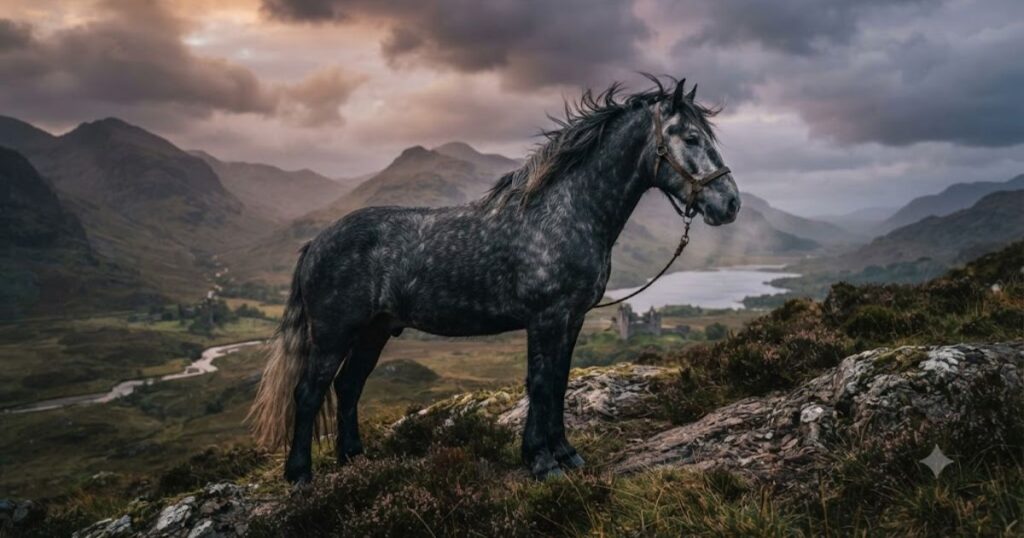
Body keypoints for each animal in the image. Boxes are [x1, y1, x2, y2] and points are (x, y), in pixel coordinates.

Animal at [248, 76, 741, 484]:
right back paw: (300, 476)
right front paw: (541, 462)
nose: (730, 203)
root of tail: (315, 243)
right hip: (333, 334)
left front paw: (566, 454)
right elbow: (540, 384)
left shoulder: (573, 319)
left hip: (375, 331)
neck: (565, 212)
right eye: (692, 137)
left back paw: (355, 460)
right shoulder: (546, 318)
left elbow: (559, 382)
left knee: (348, 387)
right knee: (309, 393)